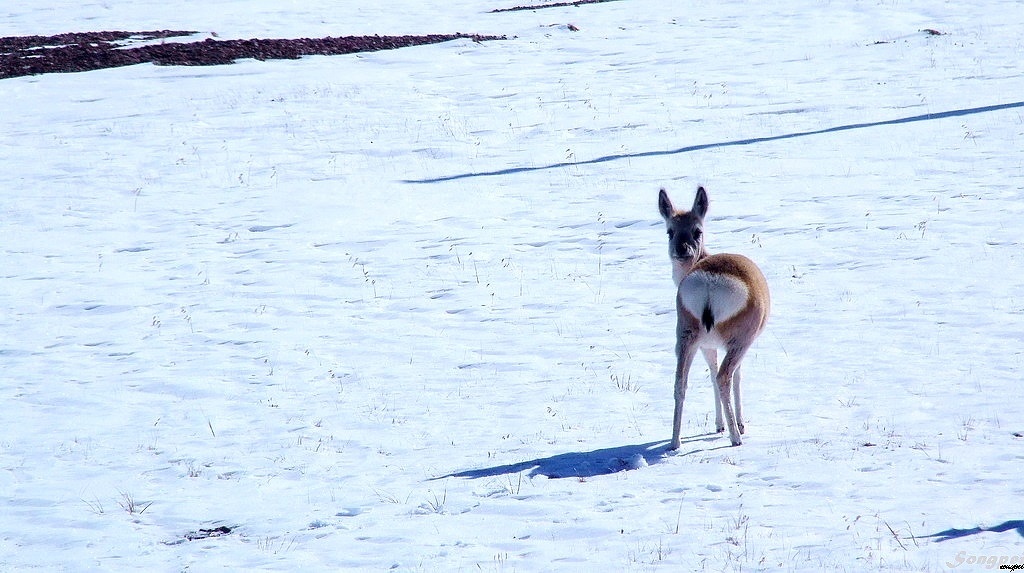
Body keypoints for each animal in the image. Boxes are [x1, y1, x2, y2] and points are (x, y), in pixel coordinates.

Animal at [663, 188, 770, 448]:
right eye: (670, 230)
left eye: (697, 230)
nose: (681, 250)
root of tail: (709, 281)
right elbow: (735, 376)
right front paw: (738, 425)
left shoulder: (706, 346)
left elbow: (710, 374)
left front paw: (719, 425)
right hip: (740, 341)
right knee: (725, 376)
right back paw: (736, 437)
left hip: (686, 337)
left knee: (680, 381)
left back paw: (675, 442)